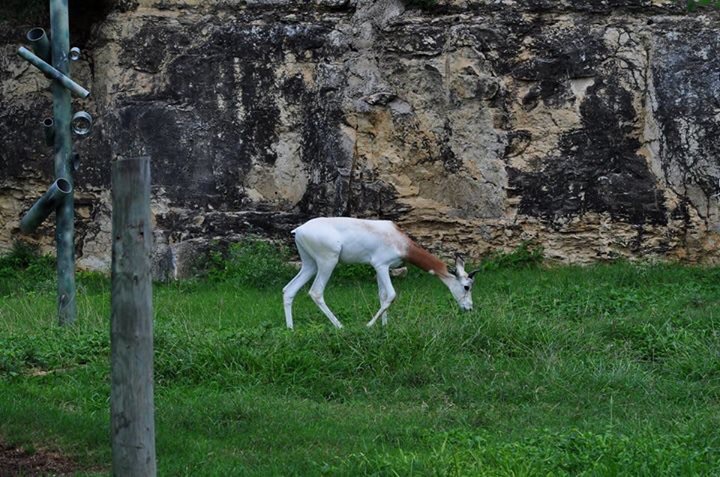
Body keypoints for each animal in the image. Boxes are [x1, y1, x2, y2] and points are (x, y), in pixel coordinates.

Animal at [282, 217, 479, 329]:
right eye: (467, 286)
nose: (469, 309)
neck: (400, 242)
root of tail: (299, 230)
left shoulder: (381, 269)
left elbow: (382, 296)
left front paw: (384, 327)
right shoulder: (381, 266)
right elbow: (391, 295)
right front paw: (369, 325)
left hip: (310, 264)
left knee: (288, 290)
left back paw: (290, 329)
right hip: (327, 262)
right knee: (316, 292)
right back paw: (340, 326)